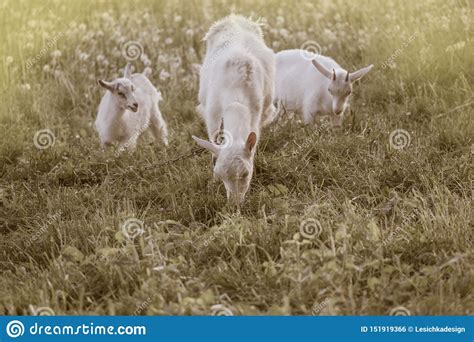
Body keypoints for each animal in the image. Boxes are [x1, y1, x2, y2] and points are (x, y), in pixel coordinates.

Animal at [192, 14, 276, 203]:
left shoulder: (256, 114)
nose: (234, 205)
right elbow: (214, 144)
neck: (235, 100)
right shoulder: (213, 115)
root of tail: (234, 18)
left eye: (245, 174)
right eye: (220, 175)